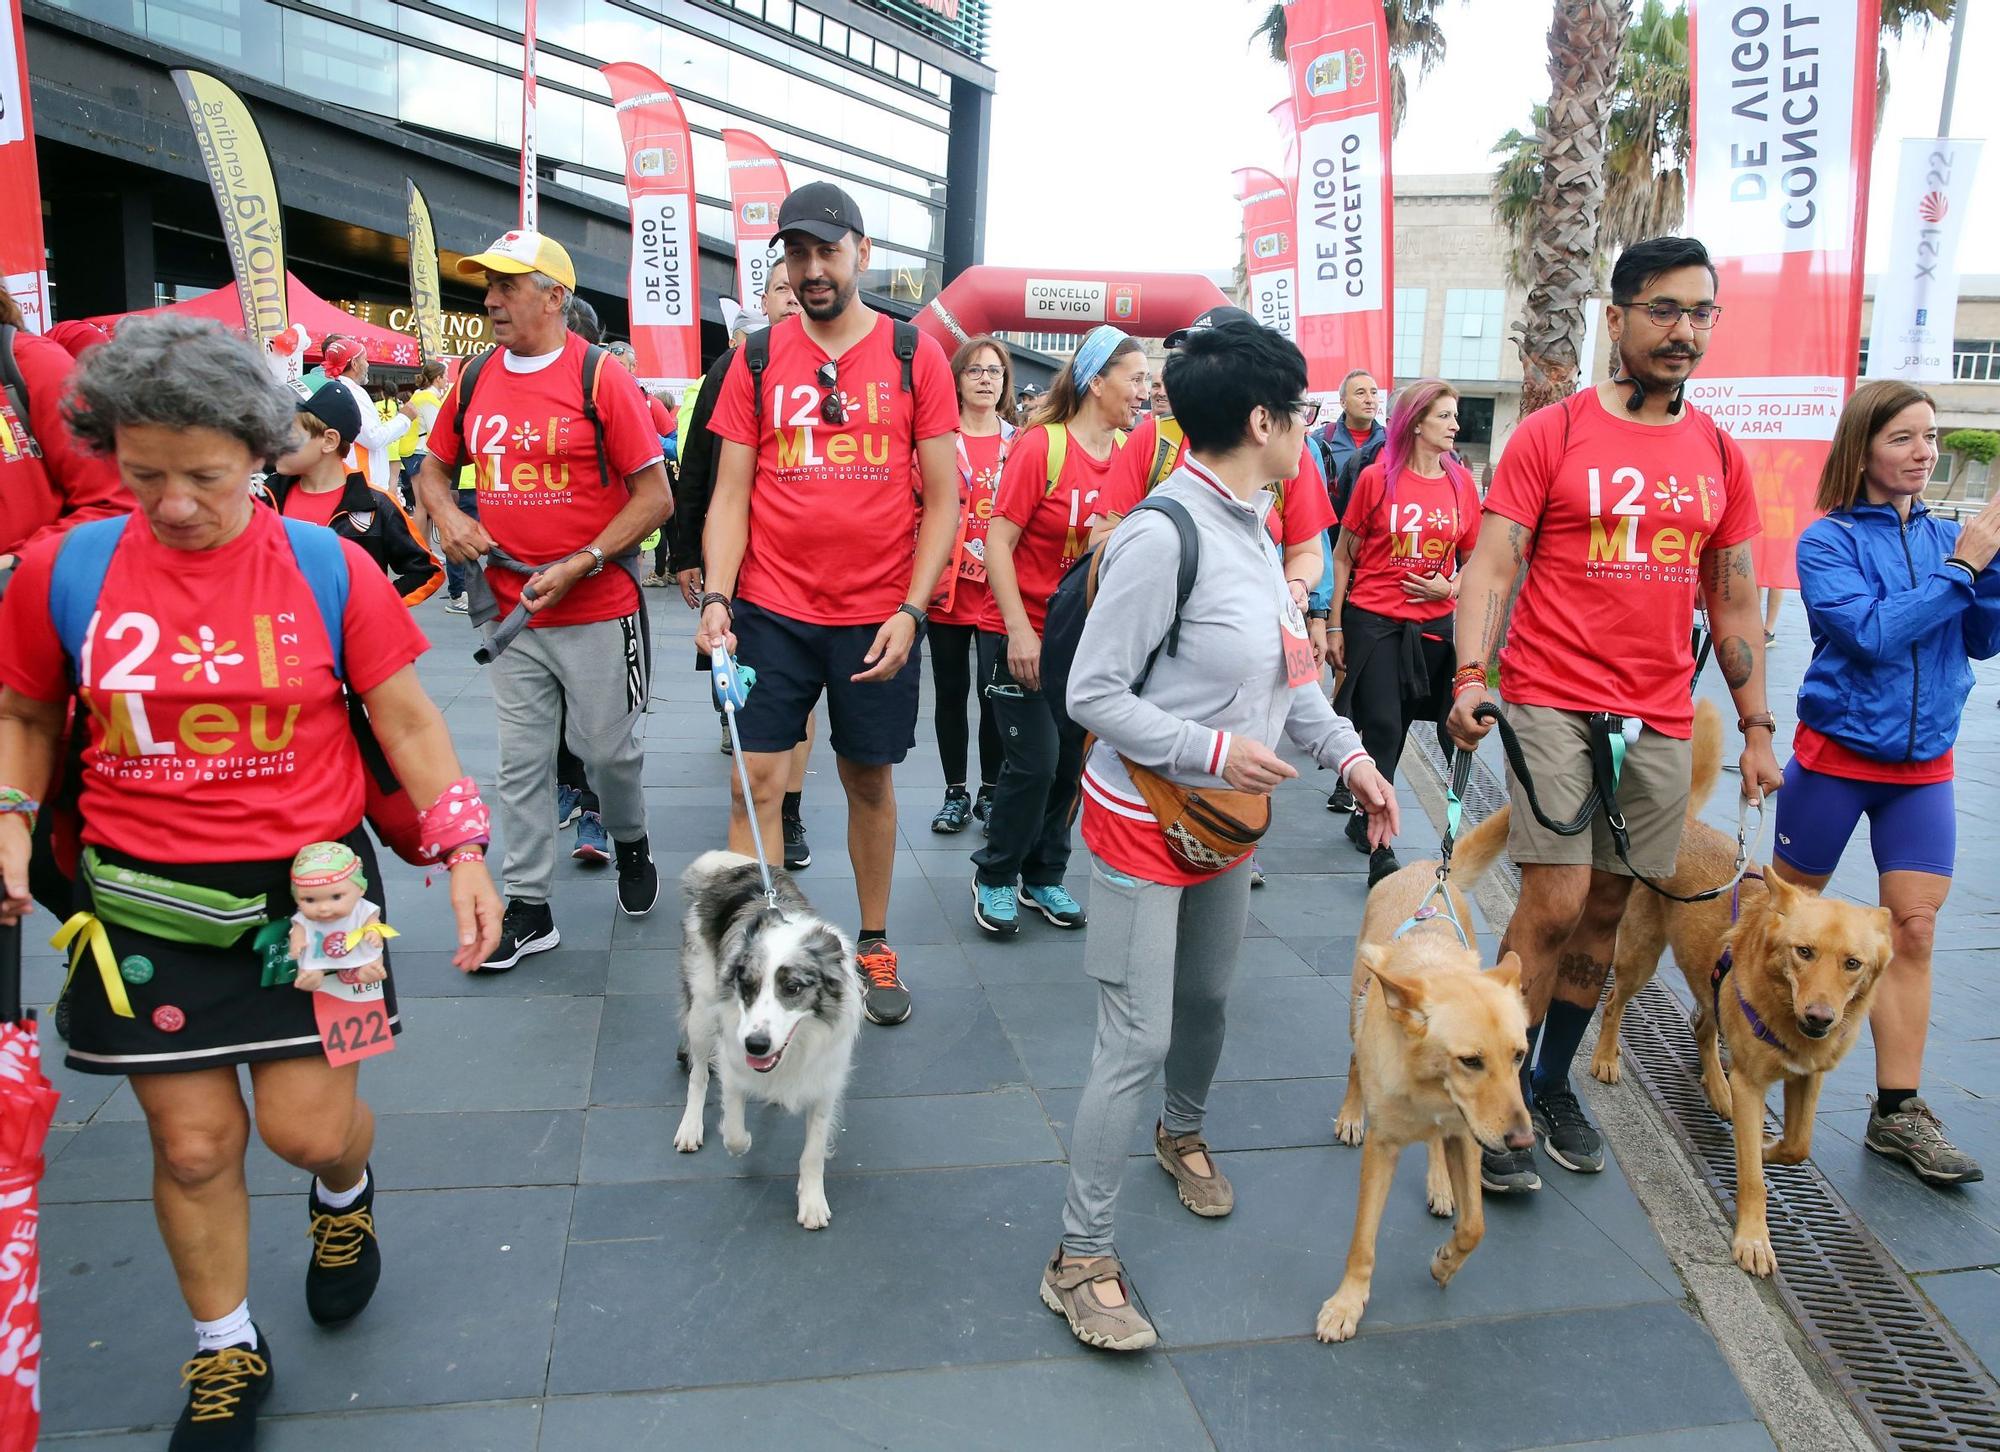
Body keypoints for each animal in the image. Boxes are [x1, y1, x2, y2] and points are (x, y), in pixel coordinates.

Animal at [1312, 812, 1528, 1344]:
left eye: (1519, 1056)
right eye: (1471, 1061)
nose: (1522, 1141)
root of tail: (1429, 866)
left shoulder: (1469, 1135)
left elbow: (1475, 1227)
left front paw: (1446, 1261)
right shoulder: (1383, 1148)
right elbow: (1363, 1240)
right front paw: (1348, 1303)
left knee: (1436, 1143)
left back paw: (1440, 1184)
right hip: (1356, 1005)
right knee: (1354, 1062)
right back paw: (1352, 1114)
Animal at [1576, 712, 1888, 1280]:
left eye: (1852, 964)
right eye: (1804, 952)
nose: (1820, 1019)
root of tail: (1685, 827)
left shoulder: (1807, 1079)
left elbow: (1796, 1145)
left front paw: (1767, 1145)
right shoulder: (1755, 1084)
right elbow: (1752, 1177)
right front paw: (1754, 1238)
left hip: (1706, 984)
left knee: (1704, 1026)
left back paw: (1716, 1088)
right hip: (1639, 958)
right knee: (1612, 1005)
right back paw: (1609, 1058)